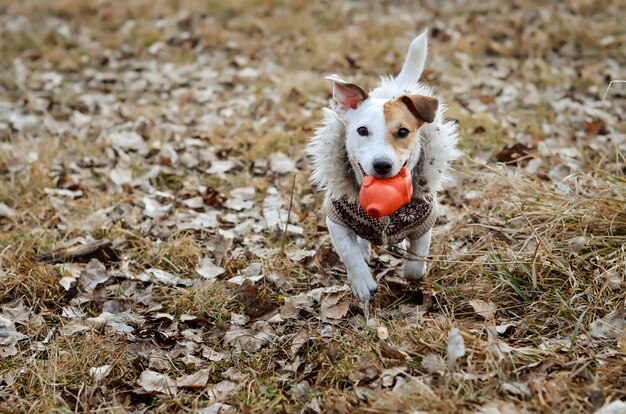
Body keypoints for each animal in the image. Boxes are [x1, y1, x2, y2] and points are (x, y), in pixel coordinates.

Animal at [306, 31, 458, 304]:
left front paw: (413, 272)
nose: (382, 165)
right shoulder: (336, 220)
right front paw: (362, 282)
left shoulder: (425, 223)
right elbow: (349, 252)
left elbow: (415, 265)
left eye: (403, 132)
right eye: (362, 130)